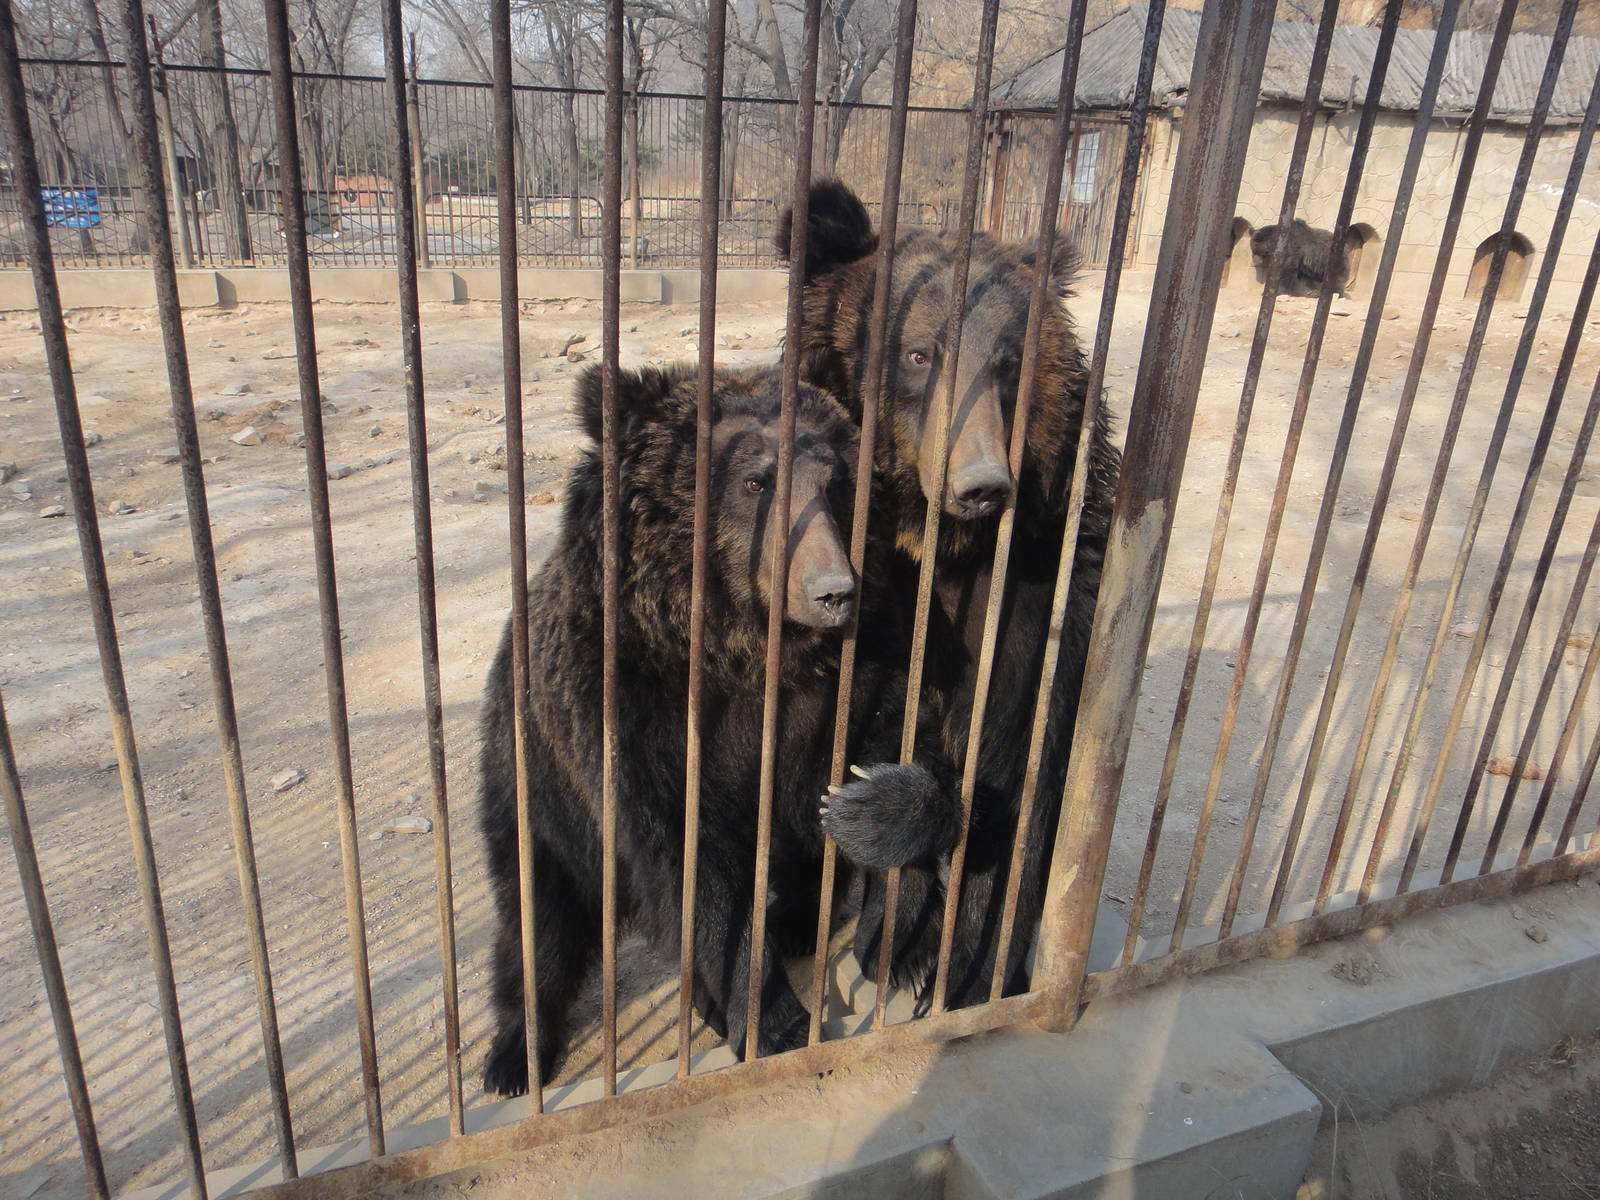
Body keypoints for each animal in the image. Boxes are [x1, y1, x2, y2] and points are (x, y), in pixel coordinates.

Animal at [478, 361, 961, 1097]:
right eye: (755, 481)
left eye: (836, 482)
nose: (833, 590)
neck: (741, 648)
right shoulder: (636, 708)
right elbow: (695, 863)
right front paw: (774, 1022)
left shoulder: (848, 676)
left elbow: (899, 744)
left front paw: (877, 847)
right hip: (532, 779)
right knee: (537, 913)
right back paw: (516, 1052)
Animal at [777, 178, 1122, 1011]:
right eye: (918, 353)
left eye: (1008, 363)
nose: (981, 484)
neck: (935, 542)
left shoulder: (1040, 583)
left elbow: (1012, 753)